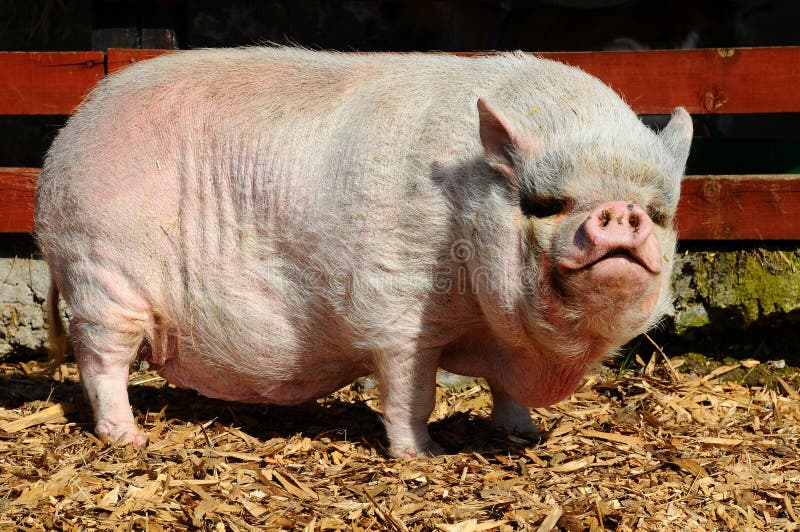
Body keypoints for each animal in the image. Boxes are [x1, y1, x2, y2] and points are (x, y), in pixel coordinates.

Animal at [34, 47, 692, 460]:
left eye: (658, 212)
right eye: (546, 204)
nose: (621, 212)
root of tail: (61, 146)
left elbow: (504, 392)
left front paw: (522, 435)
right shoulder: (397, 311)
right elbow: (411, 392)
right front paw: (426, 456)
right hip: (101, 272)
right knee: (101, 364)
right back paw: (130, 440)